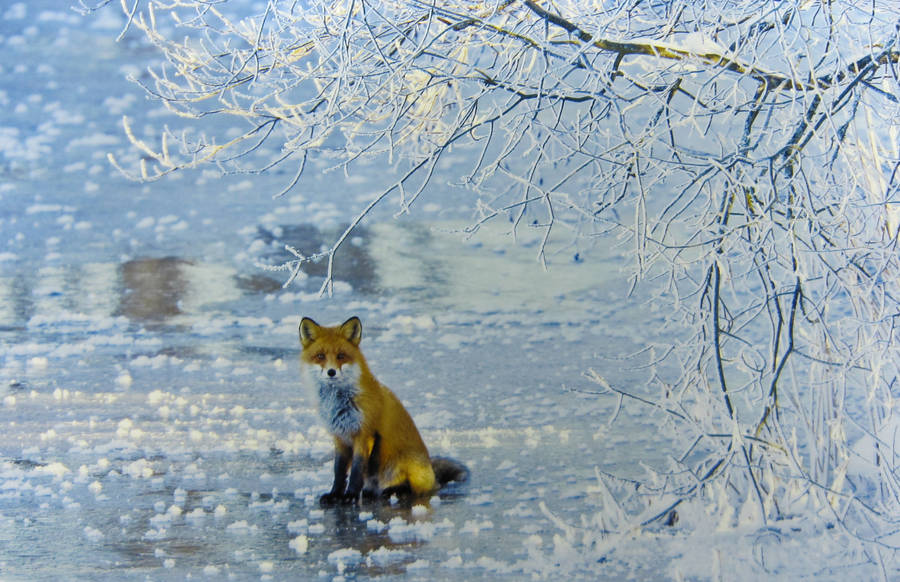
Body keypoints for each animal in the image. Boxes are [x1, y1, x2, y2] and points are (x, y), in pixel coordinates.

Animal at [299, 316, 468, 505]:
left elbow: (356, 471)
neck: (340, 401)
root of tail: (433, 476)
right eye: (320, 356)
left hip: (404, 463)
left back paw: (395, 491)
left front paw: (350, 496)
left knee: (417, 489)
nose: (331, 372)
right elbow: (339, 471)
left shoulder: (364, 435)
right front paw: (335, 494)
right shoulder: (339, 437)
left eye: (341, 356)